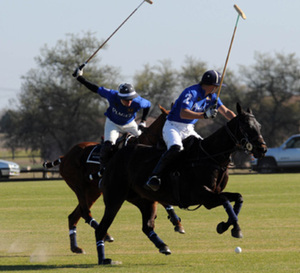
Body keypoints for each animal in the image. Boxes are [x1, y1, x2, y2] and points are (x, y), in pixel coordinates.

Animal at [43, 105, 185, 253]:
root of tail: (65, 156)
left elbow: (164, 202)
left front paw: (177, 223)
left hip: (93, 192)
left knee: (75, 215)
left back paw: (76, 247)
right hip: (78, 186)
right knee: (85, 212)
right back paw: (105, 235)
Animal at [92, 102, 266, 264]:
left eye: (259, 126)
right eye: (246, 126)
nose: (262, 149)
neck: (211, 157)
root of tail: (114, 155)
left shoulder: (212, 195)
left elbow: (238, 197)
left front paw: (225, 226)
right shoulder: (203, 196)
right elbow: (225, 200)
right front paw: (234, 228)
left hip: (145, 200)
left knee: (147, 226)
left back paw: (163, 246)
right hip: (114, 198)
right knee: (101, 228)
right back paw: (104, 260)